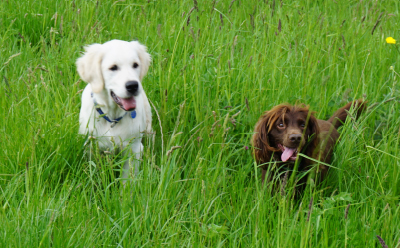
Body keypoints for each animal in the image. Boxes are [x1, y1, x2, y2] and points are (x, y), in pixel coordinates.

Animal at [76, 39, 152, 181]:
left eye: (135, 65)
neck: (112, 118)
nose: (133, 85)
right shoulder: (91, 146)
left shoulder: (134, 148)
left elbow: (128, 178)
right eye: (113, 67)